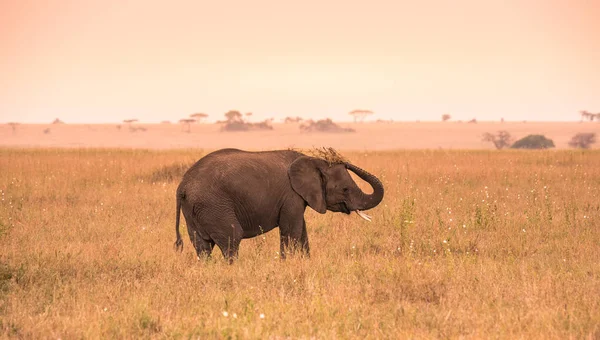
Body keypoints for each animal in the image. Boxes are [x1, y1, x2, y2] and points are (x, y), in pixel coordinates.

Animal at [173, 147, 384, 262]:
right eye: (345, 189)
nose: (339, 158)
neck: (312, 160)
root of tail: (182, 186)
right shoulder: (291, 196)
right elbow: (292, 231)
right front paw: (286, 265)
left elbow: (302, 232)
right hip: (213, 205)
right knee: (232, 239)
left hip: (195, 210)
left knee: (202, 246)